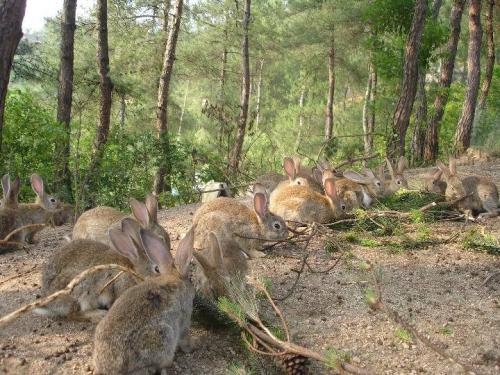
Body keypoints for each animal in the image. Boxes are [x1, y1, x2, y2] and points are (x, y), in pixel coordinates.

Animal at [33, 220, 161, 324]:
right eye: (157, 269)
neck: (132, 270)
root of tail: (49, 305)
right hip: (77, 290)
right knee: (73, 314)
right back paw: (98, 315)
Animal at [92, 226, 195, 375]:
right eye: (191, 280)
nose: (194, 290)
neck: (174, 277)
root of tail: (110, 369)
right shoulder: (184, 320)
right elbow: (184, 337)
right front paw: (191, 347)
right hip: (162, 337)